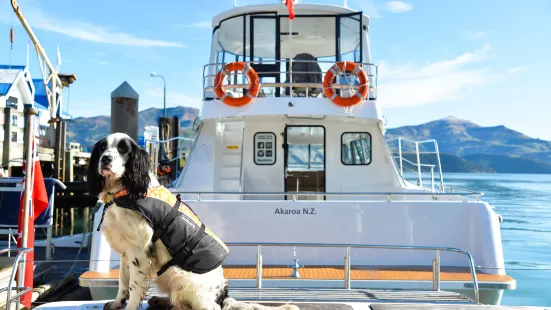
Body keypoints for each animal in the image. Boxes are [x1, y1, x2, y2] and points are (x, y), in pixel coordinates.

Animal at [88, 133, 300, 310]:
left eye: (123, 149)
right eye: (102, 148)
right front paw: (117, 303)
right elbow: (123, 282)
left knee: (207, 307)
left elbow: (134, 286)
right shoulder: (126, 251)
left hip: (180, 273)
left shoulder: (140, 251)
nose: (105, 159)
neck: (122, 192)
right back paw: (162, 301)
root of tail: (223, 296)